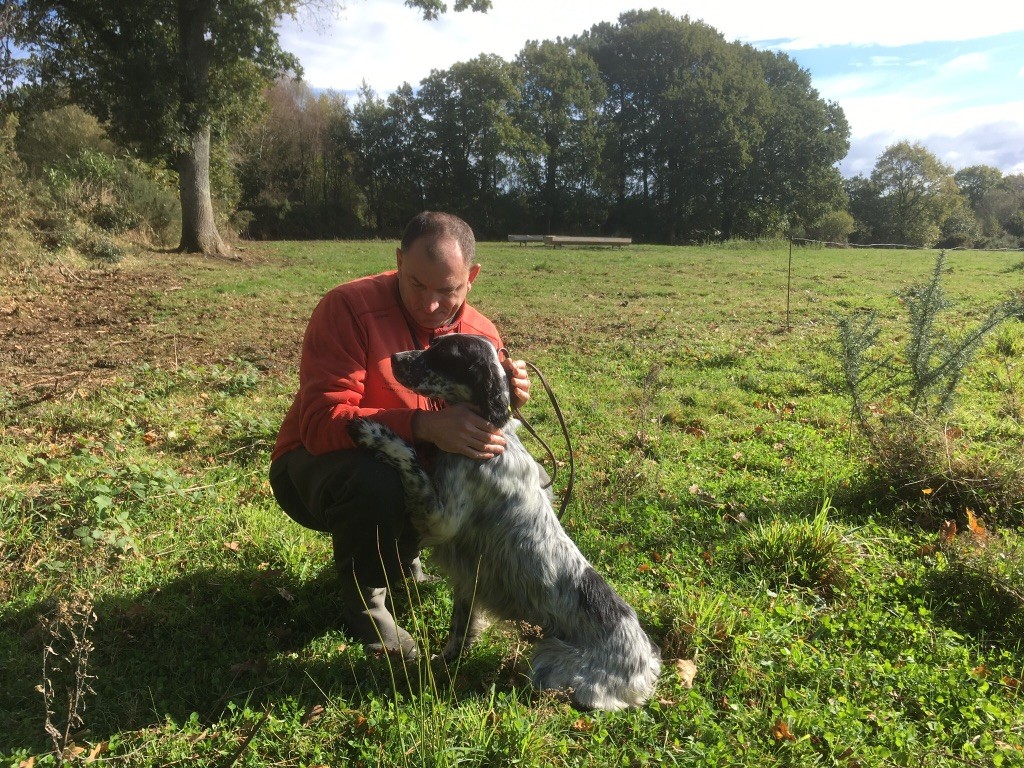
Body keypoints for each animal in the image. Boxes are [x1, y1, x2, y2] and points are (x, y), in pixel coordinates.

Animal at [346, 333, 663, 712]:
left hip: (551, 657)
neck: (493, 432)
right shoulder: (468, 575)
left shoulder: (442, 519)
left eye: (442, 354)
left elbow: (408, 456)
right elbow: (461, 625)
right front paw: (447, 659)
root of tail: (648, 667)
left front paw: (373, 431)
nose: (393, 359)